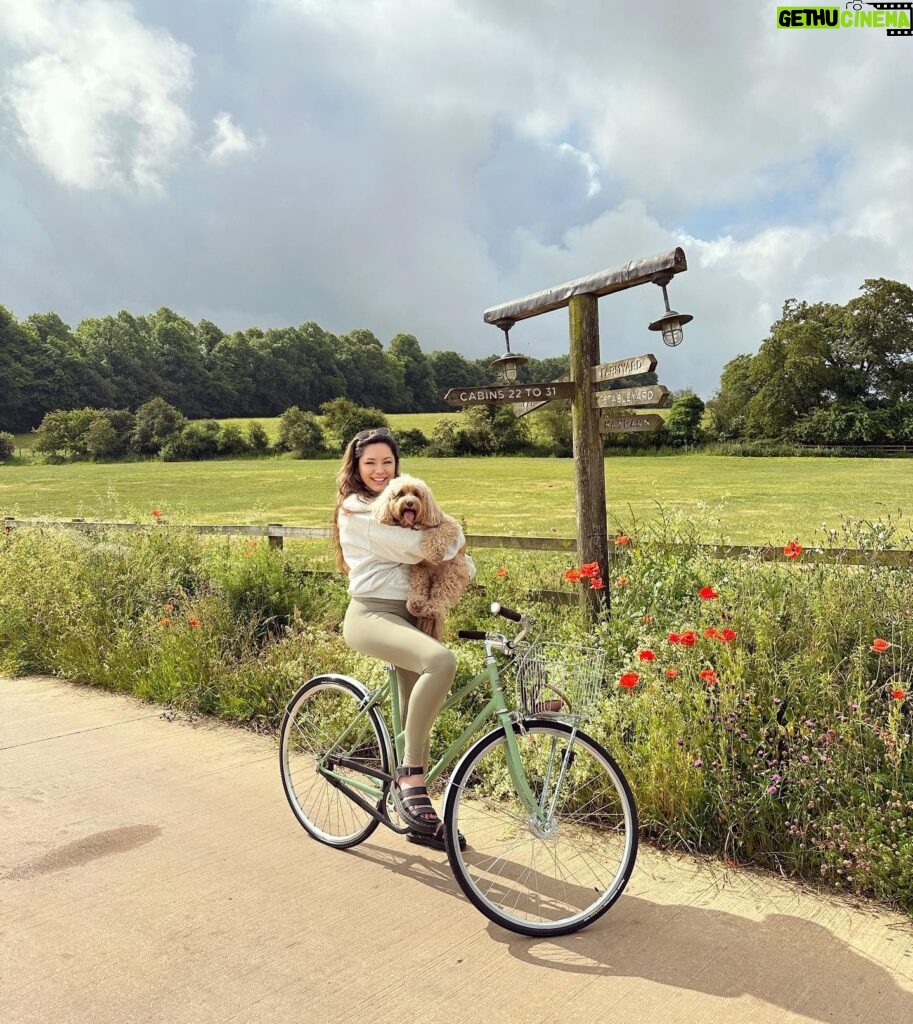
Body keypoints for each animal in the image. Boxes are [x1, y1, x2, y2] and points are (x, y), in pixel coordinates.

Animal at [372, 473, 470, 638]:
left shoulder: (448, 524)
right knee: (419, 586)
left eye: (416, 494)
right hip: (419, 571)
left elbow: (438, 532)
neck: (416, 525)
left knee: (441, 595)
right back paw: (416, 604)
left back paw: (430, 608)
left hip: (452, 572)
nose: (410, 503)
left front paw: (434, 552)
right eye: (401, 494)